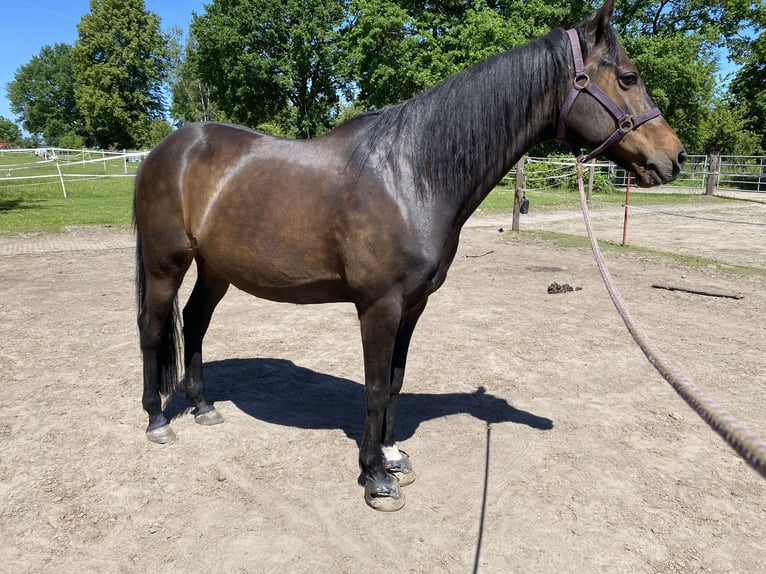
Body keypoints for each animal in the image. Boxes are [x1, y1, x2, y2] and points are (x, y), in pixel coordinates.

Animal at [134, 0, 686, 511]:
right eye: (629, 77)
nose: (675, 157)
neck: (412, 176)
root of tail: (166, 149)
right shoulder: (379, 306)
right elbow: (376, 386)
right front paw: (375, 477)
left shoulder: (414, 305)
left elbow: (397, 381)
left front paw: (394, 455)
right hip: (166, 265)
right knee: (155, 329)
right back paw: (158, 419)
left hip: (216, 269)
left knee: (195, 322)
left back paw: (203, 407)